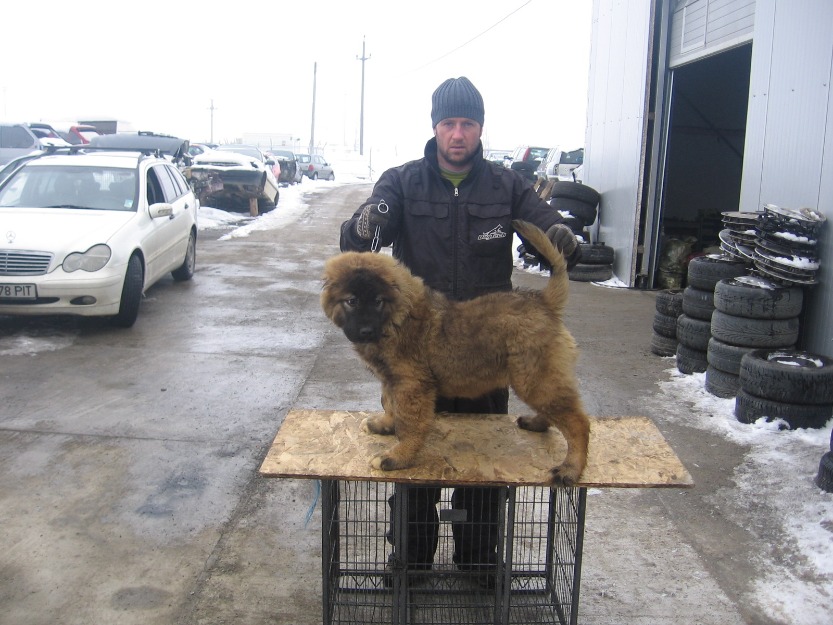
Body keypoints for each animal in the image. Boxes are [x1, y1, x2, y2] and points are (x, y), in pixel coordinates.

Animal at [320, 222, 592, 486]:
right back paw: (537, 424)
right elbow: (389, 403)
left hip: (534, 378)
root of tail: (543, 301)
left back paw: (570, 469)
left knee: (579, 423)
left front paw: (397, 457)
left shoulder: (411, 384)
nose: (365, 331)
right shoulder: (392, 379)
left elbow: (408, 424)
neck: (394, 319)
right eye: (352, 301)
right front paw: (385, 425)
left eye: (378, 301)